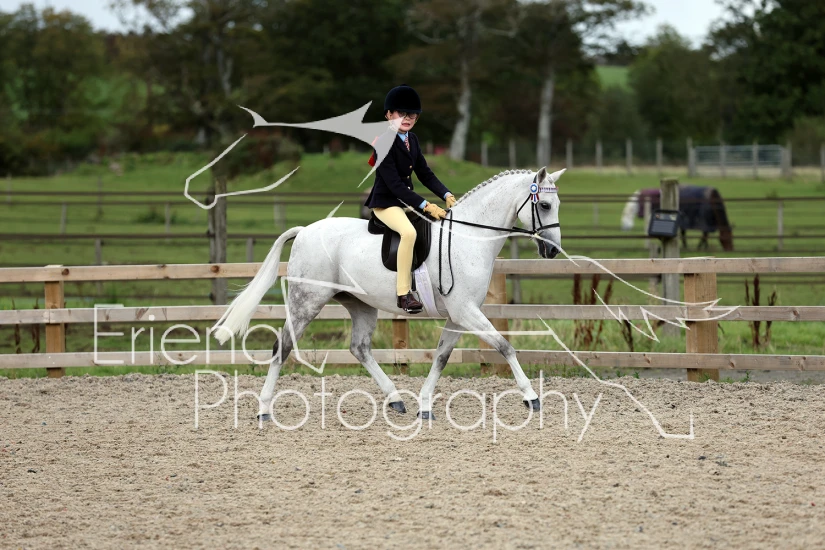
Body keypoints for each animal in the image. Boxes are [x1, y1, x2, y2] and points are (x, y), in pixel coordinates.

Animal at [212, 167, 564, 419]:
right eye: (545, 205)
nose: (553, 251)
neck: (468, 237)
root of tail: (304, 231)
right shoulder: (466, 311)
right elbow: (505, 346)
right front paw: (531, 397)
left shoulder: (459, 315)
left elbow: (441, 356)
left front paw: (425, 404)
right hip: (307, 302)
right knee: (282, 346)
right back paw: (264, 409)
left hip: (360, 305)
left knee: (359, 348)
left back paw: (396, 399)